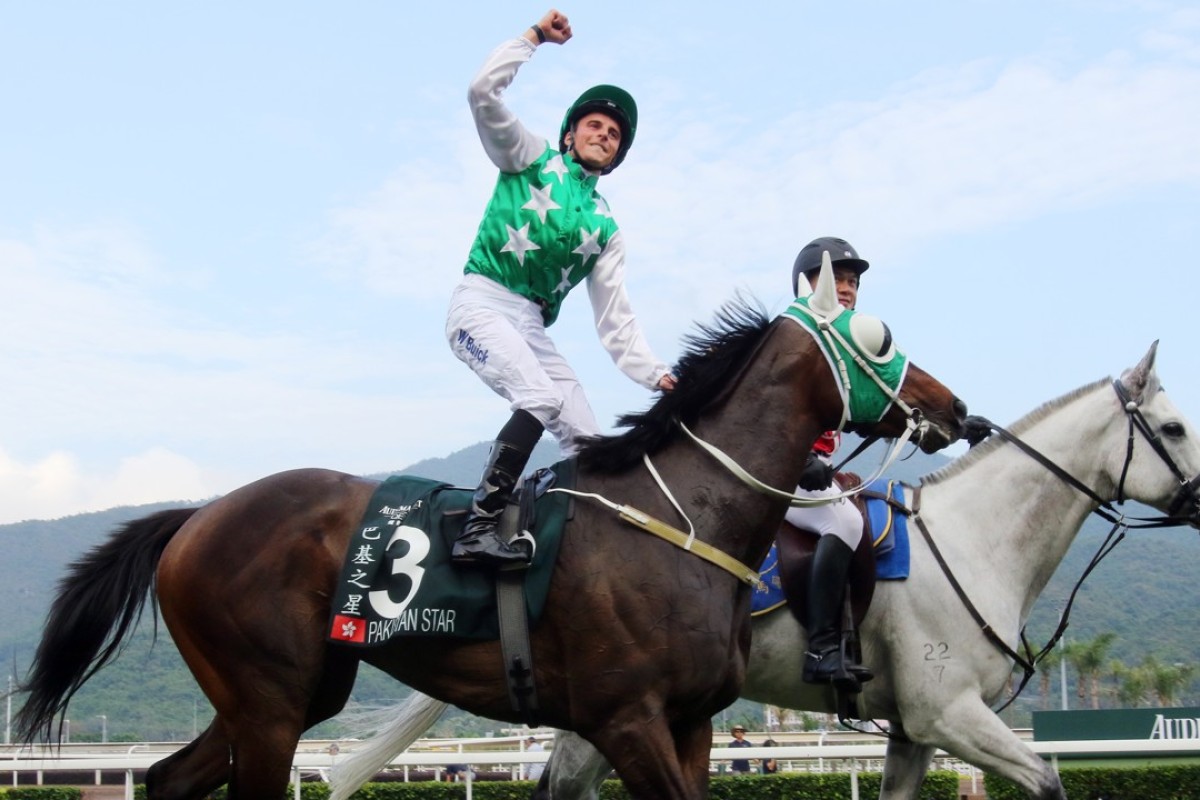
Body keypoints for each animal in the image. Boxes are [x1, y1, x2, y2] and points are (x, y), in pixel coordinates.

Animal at [11, 286, 964, 796]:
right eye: (876, 336)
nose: (952, 406)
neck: (682, 520)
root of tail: (196, 515)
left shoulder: (690, 722)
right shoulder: (626, 719)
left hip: (286, 695)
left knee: (171, 777)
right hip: (270, 702)